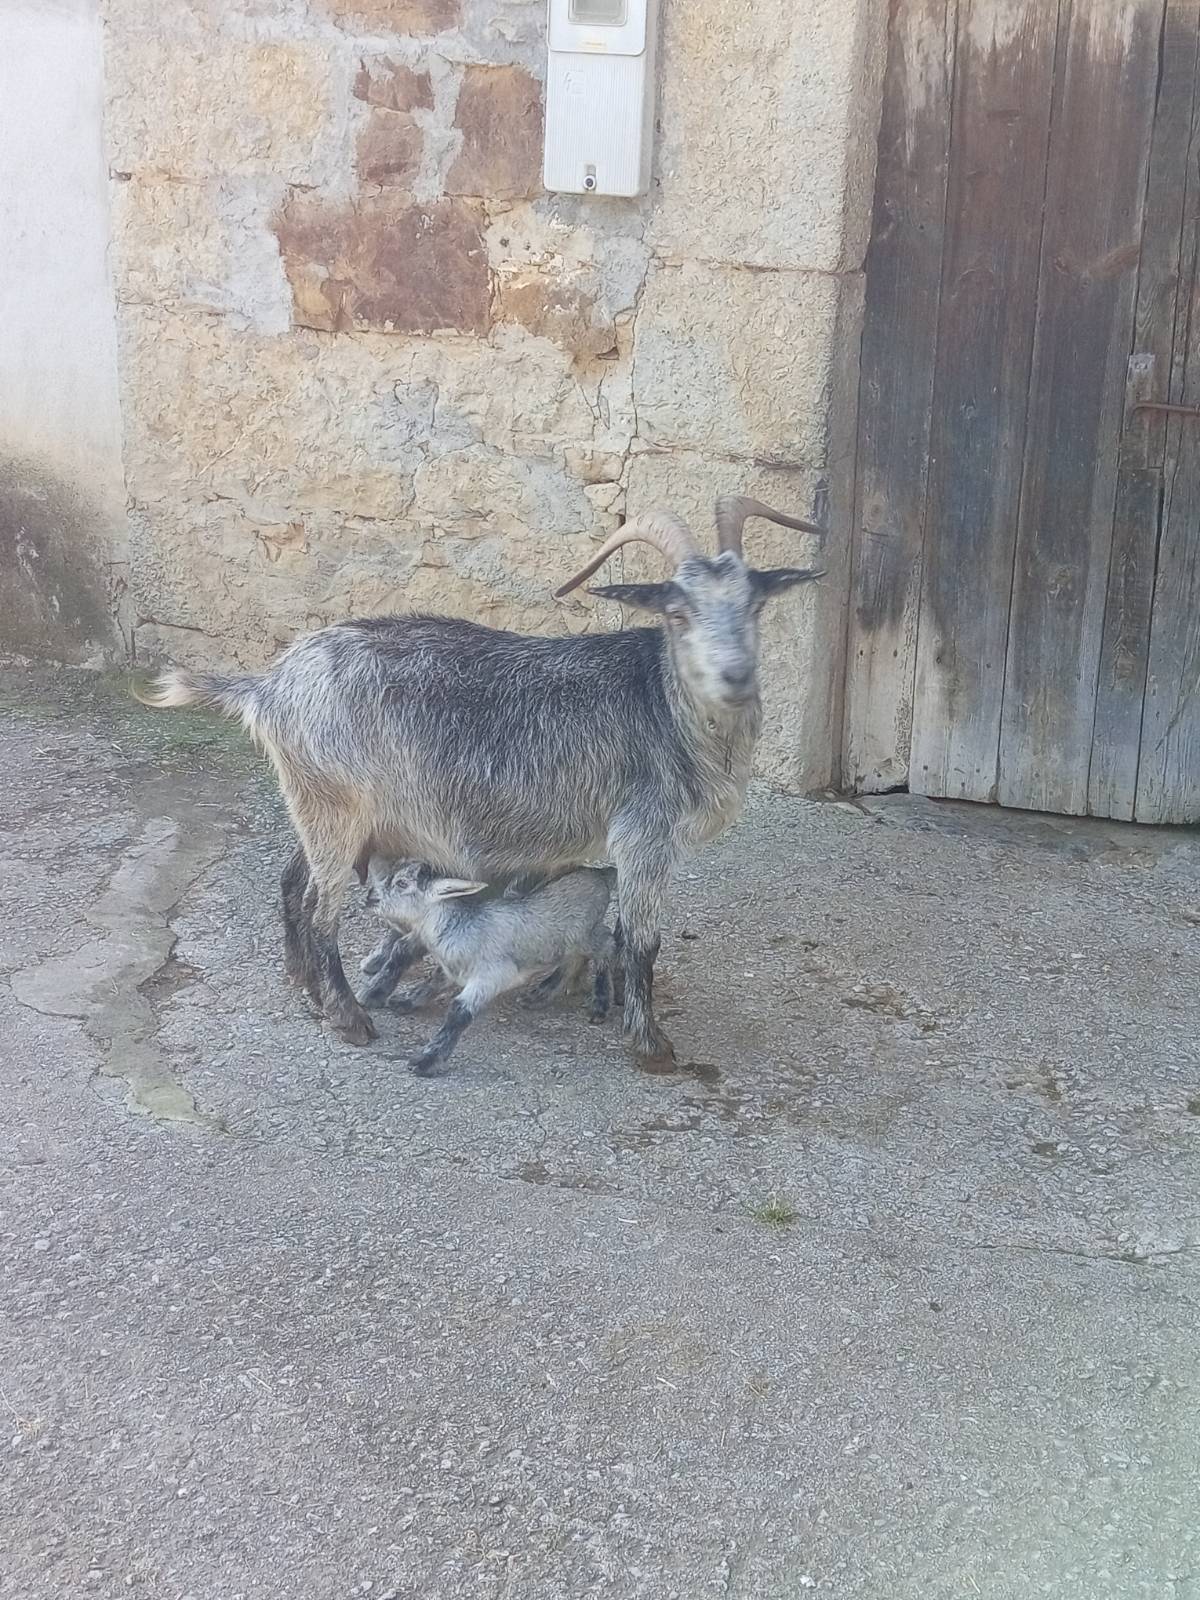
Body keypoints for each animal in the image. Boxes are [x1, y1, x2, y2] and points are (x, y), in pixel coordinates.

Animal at [365, 859, 616, 1074]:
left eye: (401, 883)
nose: (370, 898)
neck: (461, 928)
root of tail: (601, 875)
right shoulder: (453, 970)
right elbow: (432, 982)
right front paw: (405, 1001)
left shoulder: (490, 976)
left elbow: (458, 1011)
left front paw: (427, 1060)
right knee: (575, 958)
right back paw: (539, 995)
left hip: (585, 934)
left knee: (608, 943)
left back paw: (600, 1002)